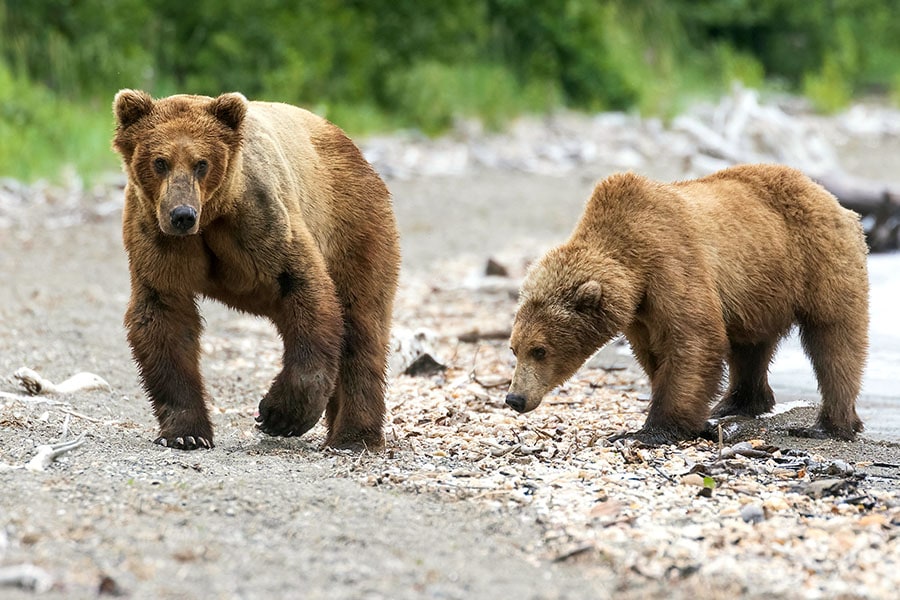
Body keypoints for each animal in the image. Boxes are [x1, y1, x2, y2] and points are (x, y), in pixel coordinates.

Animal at [110, 90, 400, 450]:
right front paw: (186, 433)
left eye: (201, 163)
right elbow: (163, 314)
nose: (182, 215)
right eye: (160, 161)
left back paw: (353, 436)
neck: (211, 219)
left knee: (361, 324)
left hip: (353, 224)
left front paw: (278, 415)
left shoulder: (260, 218)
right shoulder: (156, 236)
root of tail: (352, 146)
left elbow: (305, 289)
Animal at [502, 165, 868, 446]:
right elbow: (657, 355)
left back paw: (828, 425)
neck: (632, 264)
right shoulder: (641, 313)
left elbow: (693, 340)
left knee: (835, 341)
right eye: (514, 348)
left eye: (539, 350)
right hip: (759, 289)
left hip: (819, 262)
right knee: (749, 347)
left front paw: (649, 431)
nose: (515, 398)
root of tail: (828, 197)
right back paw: (736, 404)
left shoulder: (672, 263)